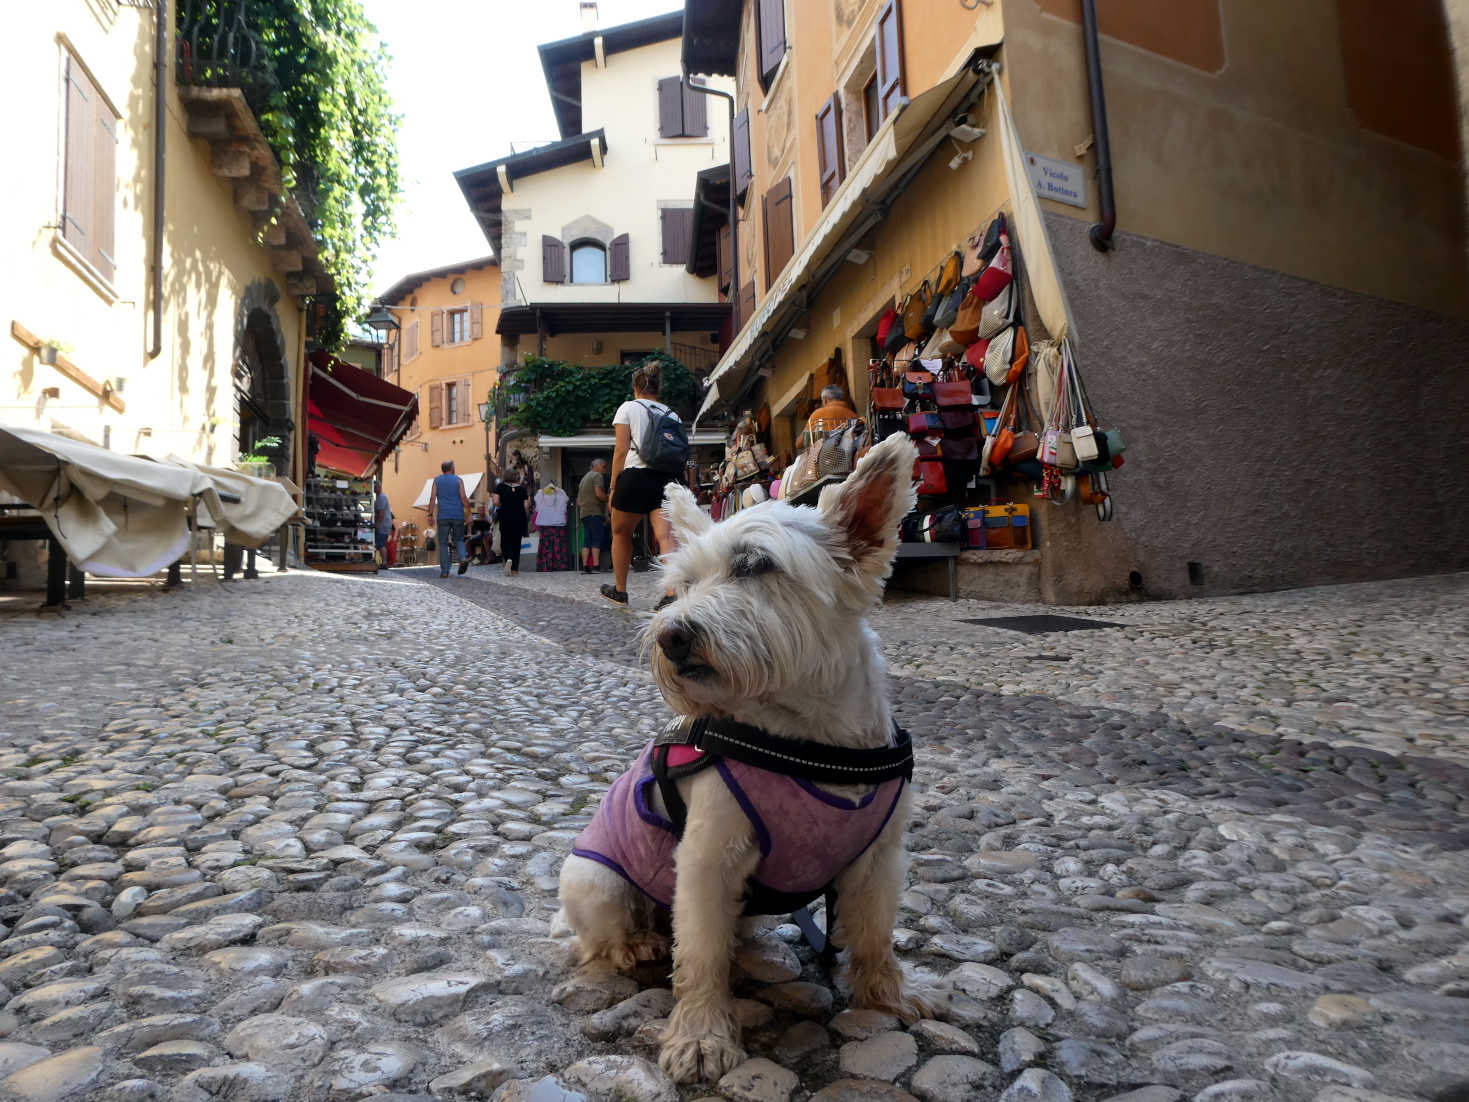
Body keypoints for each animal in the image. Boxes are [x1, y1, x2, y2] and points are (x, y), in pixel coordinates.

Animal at [552, 434, 928, 1087]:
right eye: (678, 586)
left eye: (755, 565)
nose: (670, 636)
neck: (812, 742)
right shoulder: (706, 859)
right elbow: (700, 956)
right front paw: (701, 1036)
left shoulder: (877, 860)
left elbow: (875, 936)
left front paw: (887, 999)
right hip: (595, 878)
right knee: (602, 939)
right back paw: (636, 946)